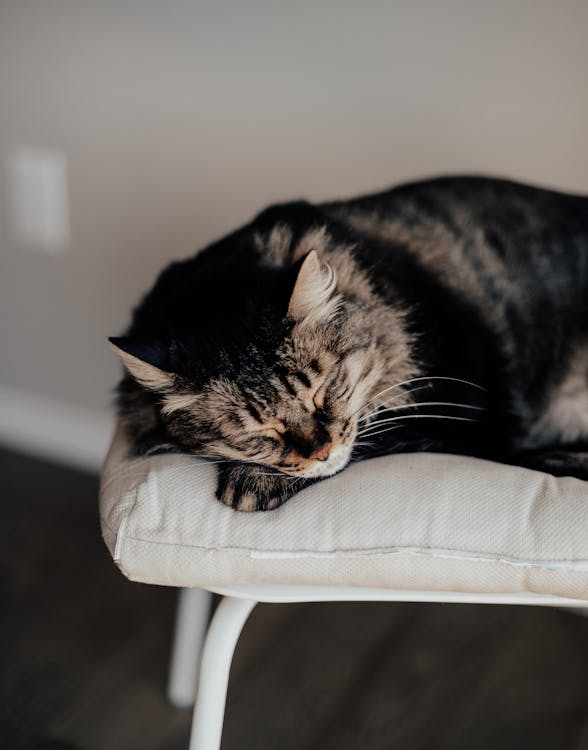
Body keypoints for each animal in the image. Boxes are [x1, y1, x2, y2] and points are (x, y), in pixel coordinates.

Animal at [109, 177, 588, 516]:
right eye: (258, 431)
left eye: (323, 391)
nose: (321, 451)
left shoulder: (467, 413)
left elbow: (378, 431)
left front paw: (252, 482)